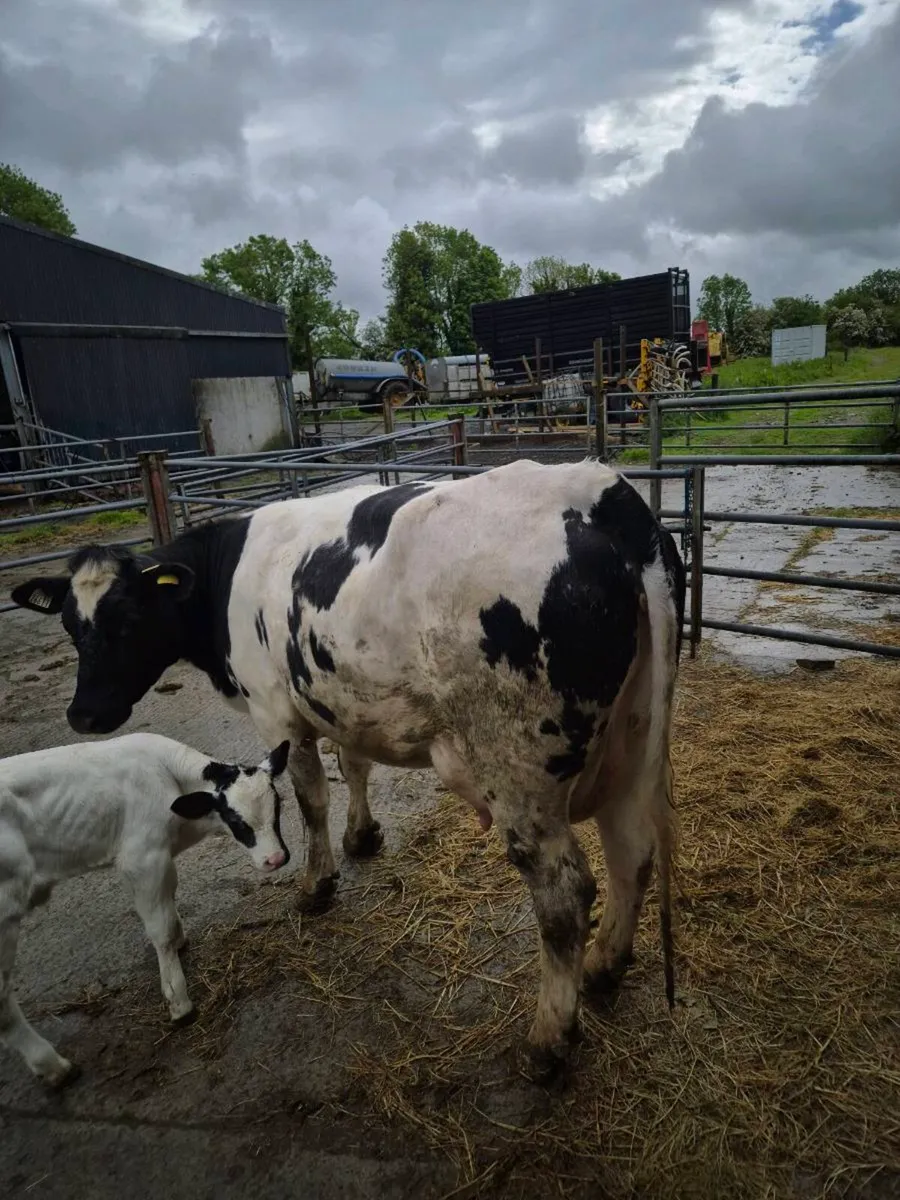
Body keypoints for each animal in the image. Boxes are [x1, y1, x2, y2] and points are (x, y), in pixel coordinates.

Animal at [0, 733, 291, 1087]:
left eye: (278, 806)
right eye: (236, 820)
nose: (276, 859)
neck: (168, 776)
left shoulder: (160, 857)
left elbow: (170, 900)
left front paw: (180, 941)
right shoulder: (141, 858)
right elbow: (160, 927)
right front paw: (178, 1001)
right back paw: (53, 1065)